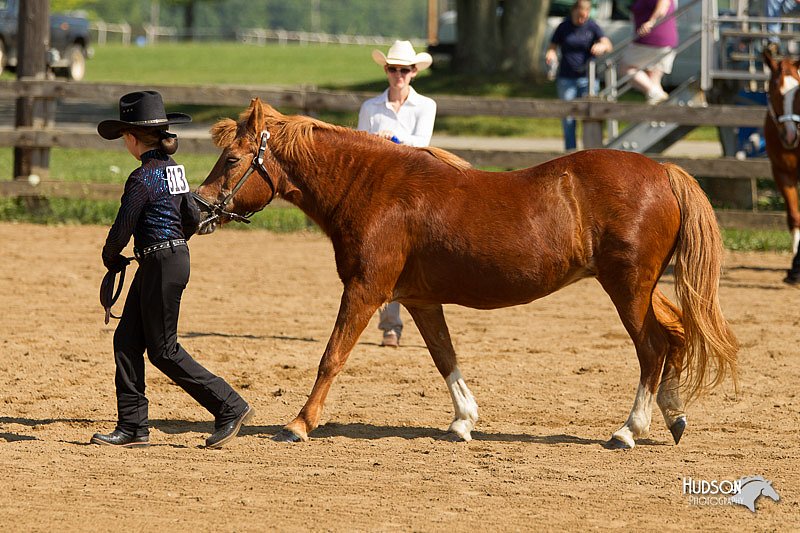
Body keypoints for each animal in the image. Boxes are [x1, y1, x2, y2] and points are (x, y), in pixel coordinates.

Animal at [194, 97, 736, 446]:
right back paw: (674, 415)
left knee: (653, 347)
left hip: (627, 287)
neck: (375, 188)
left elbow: (332, 356)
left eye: (234, 159)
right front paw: (463, 421)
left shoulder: (365, 291)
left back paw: (629, 429)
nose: (198, 206)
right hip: (642, 287)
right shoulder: (419, 299)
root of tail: (664, 172)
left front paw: (299, 424)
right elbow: (444, 356)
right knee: (677, 333)